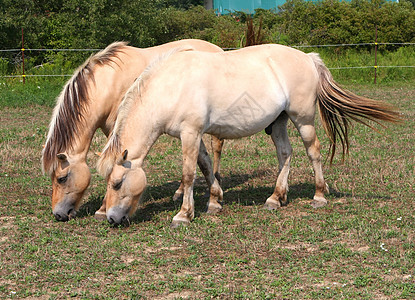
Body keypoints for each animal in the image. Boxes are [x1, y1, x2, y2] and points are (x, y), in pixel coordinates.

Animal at [40, 38, 226, 221]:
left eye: (61, 178)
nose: (58, 214)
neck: (109, 83)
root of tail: (217, 49)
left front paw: (102, 210)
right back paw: (181, 192)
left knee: (216, 148)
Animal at [96, 44, 400, 227]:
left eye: (117, 183)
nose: (110, 218)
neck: (171, 85)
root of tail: (308, 58)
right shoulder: (195, 134)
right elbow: (205, 165)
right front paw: (215, 201)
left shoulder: (190, 133)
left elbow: (188, 173)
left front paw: (184, 214)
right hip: (279, 122)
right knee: (285, 154)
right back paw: (276, 198)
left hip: (303, 119)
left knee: (313, 151)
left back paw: (318, 195)